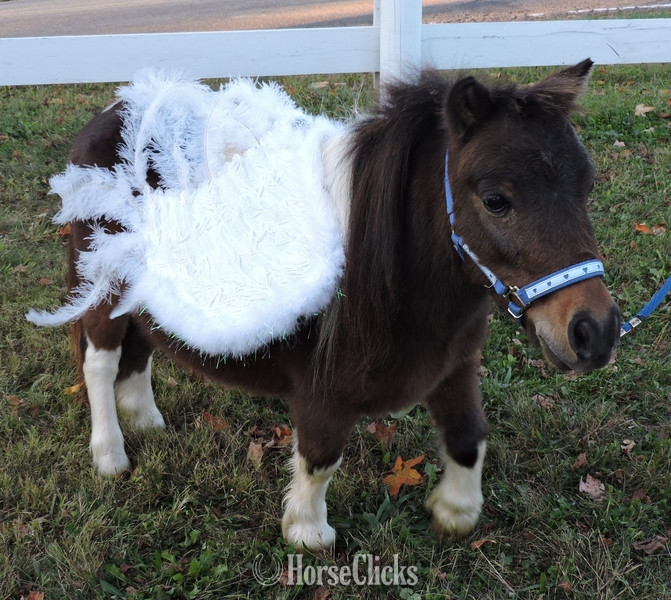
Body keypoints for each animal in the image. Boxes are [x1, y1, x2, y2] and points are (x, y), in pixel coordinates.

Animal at [29, 59, 620, 551]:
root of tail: (117, 111)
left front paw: (454, 511)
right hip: (104, 286)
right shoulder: (323, 389)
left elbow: (469, 436)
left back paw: (146, 420)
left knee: (141, 347)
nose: (596, 332)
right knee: (100, 362)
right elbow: (320, 458)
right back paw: (110, 454)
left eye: (588, 185)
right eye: (496, 200)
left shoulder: (455, 365)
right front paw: (307, 532)